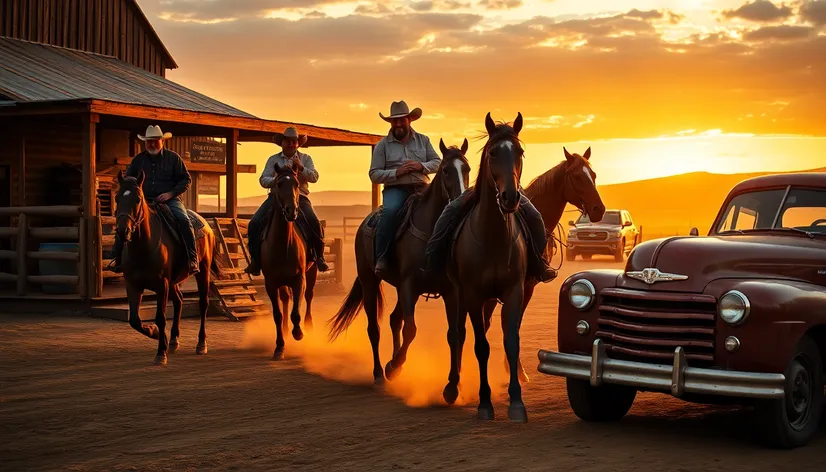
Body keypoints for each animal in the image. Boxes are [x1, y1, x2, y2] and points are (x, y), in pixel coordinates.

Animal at [113, 170, 216, 366]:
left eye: (138, 199)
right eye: (117, 198)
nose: (123, 232)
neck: (143, 247)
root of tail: (205, 223)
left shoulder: (162, 285)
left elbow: (160, 317)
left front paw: (161, 352)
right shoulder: (133, 285)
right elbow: (134, 320)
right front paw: (155, 334)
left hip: (203, 272)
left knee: (203, 304)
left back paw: (201, 344)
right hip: (174, 282)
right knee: (179, 301)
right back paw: (174, 340)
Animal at [260, 160, 318, 360]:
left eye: (296, 183)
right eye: (278, 184)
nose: (291, 211)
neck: (283, 244)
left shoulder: (299, 279)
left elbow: (296, 311)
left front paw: (298, 332)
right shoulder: (271, 283)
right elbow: (277, 314)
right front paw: (279, 346)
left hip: (312, 271)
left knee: (309, 296)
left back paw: (308, 326)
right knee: (285, 299)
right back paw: (285, 329)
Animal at [328, 136, 470, 384]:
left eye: (467, 169)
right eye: (445, 170)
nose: (460, 201)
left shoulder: (450, 291)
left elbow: (453, 333)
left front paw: (452, 383)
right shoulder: (409, 285)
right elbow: (411, 329)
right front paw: (393, 365)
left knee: (395, 319)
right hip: (369, 281)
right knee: (374, 328)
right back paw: (378, 371)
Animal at [440, 112, 532, 422]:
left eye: (519, 152)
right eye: (493, 153)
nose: (510, 197)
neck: (492, 237)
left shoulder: (514, 292)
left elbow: (511, 341)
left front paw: (516, 402)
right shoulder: (472, 295)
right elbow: (481, 346)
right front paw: (484, 403)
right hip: (455, 294)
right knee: (457, 333)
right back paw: (452, 386)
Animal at [476, 148, 604, 384]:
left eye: (593, 174)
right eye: (577, 177)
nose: (598, 209)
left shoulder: (527, 287)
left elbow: (512, 325)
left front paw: (516, 371)